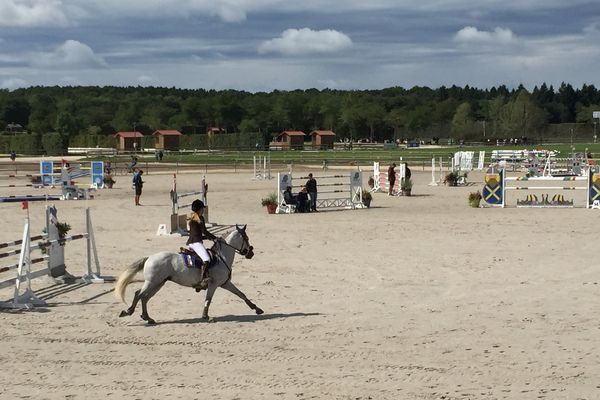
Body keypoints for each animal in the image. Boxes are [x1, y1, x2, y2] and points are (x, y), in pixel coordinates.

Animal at [115, 225, 262, 324]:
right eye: (246, 238)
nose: (251, 253)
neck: (221, 257)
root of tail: (150, 257)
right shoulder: (214, 284)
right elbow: (208, 300)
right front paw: (206, 316)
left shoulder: (225, 283)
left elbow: (241, 294)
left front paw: (256, 308)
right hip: (152, 282)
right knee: (139, 294)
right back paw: (128, 312)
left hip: (158, 283)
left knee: (144, 297)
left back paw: (148, 318)